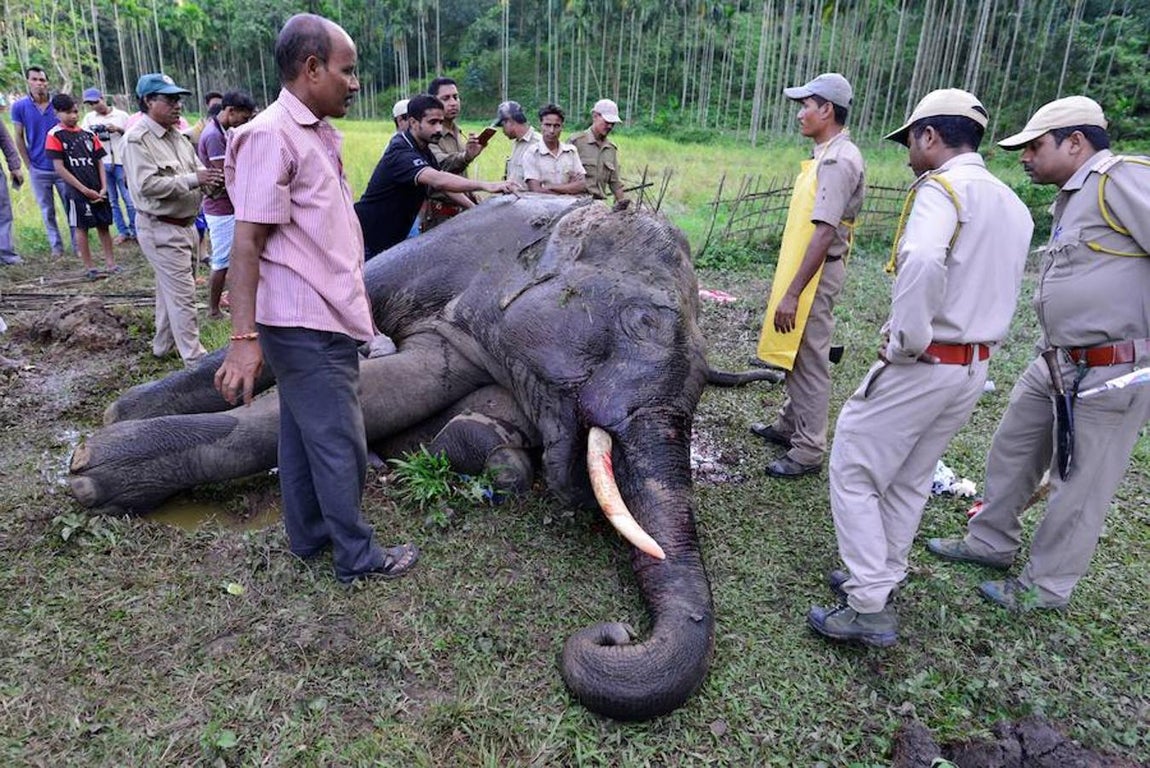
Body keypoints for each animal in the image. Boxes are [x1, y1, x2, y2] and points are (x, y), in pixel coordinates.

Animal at [67, 194, 779, 720]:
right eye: (644, 322)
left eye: (708, 376)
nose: (616, 634)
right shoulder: (471, 301)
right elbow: (373, 392)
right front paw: (94, 473)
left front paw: (485, 449)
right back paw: (120, 416)